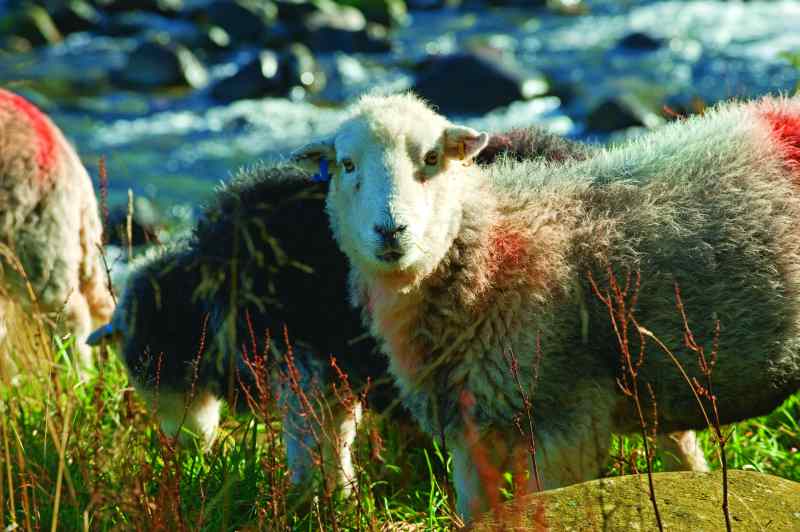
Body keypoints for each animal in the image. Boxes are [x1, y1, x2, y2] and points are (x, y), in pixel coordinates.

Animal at [86, 125, 594, 494]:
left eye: (147, 363)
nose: (184, 449)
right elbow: (337, 436)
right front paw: (339, 497)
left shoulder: (301, 366)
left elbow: (312, 442)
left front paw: (313, 499)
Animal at [292, 92, 800, 520]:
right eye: (347, 165)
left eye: (432, 158)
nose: (391, 231)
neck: (492, 248)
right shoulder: (471, 431)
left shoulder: (564, 425)